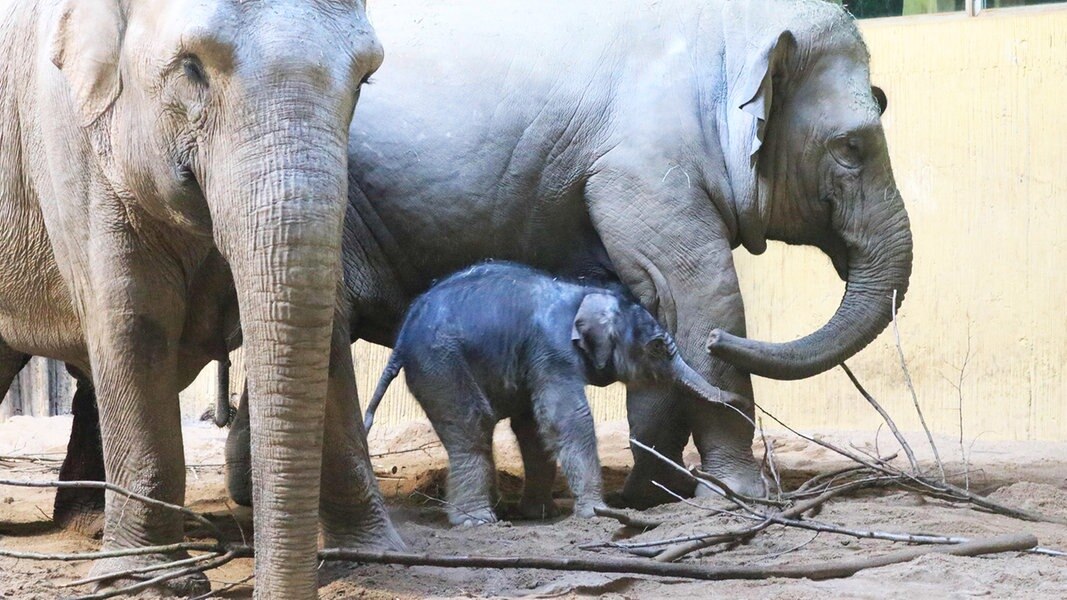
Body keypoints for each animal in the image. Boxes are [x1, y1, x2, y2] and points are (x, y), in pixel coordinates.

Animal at [0, 2, 396, 593]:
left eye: (366, 77)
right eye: (191, 68)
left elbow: (327, 314)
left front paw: (373, 557)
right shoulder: (67, 140)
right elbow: (132, 320)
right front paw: (151, 582)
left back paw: (89, 525)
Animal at [362, 261, 738, 523]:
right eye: (658, 346)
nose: (737, 400)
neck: (581, 295)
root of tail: (402, 335)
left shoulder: (533, 360)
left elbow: (533, 427)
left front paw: (541, 513)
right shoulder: (552, 352)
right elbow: (567, 419)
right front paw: (596, 512)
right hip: (440, 363)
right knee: (471, 427)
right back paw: (477, 520)